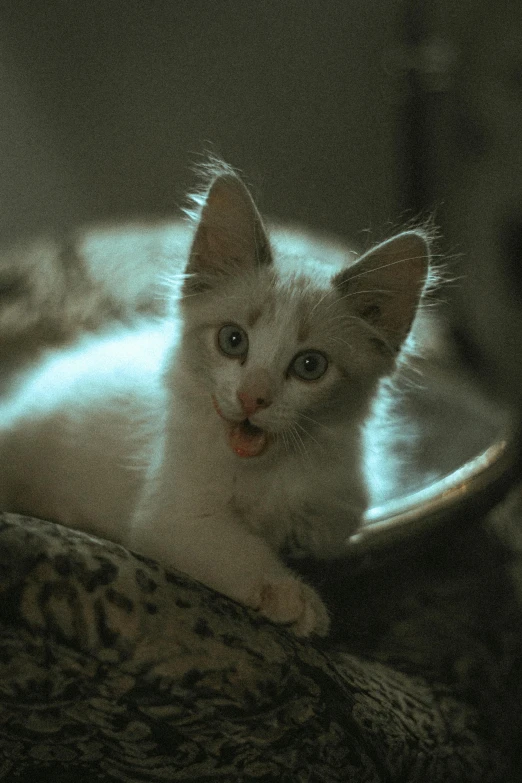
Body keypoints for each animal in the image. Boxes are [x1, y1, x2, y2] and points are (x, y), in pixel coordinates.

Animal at [0, 164, 426, 636]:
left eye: (310, 366)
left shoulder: (341, 503)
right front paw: (289, 593)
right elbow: (240, 550)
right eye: (232, 340)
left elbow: (318, 531)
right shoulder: (174, 514)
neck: (265, 470)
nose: (252, 397)